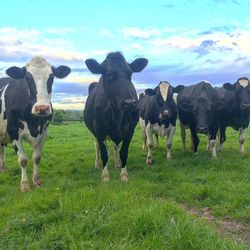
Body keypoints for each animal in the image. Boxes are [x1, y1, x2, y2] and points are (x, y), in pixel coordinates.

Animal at [0, 56, 70, 191]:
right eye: (27, 78)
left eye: (51, 78)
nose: (42, 108)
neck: (33, 122)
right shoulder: (13, 131)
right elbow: (23, 159)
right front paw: (25, 185)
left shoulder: (44, 132)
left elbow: (37, 158)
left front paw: (37, 181)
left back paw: (3, 169)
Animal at [84, 51, 147, 181]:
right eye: (109, 75)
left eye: (130, 74)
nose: (130, 103)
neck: (117, 115)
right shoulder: (99, 131)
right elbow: (104, 153)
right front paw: (105, 176)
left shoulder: (130, 130)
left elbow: (124, 152)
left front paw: (124, 175)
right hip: (95, 133)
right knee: (97, 147)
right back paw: (97, 164)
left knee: (115, 147)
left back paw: (116, 164)